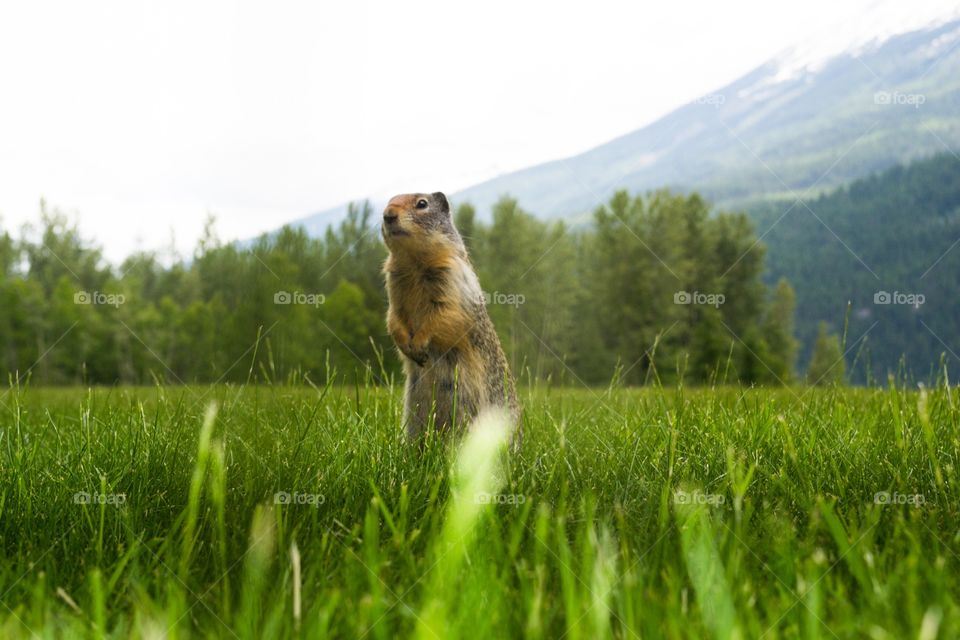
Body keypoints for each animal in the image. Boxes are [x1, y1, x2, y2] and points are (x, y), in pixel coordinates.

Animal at [380, 190, 520, 440]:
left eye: (422, 203)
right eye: (388, 202)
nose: (388, 215)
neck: (414, 262)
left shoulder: (451, 278)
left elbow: (444, 316)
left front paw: (419, 344)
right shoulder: (393, 284)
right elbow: (393, 317)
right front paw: (405, 343)